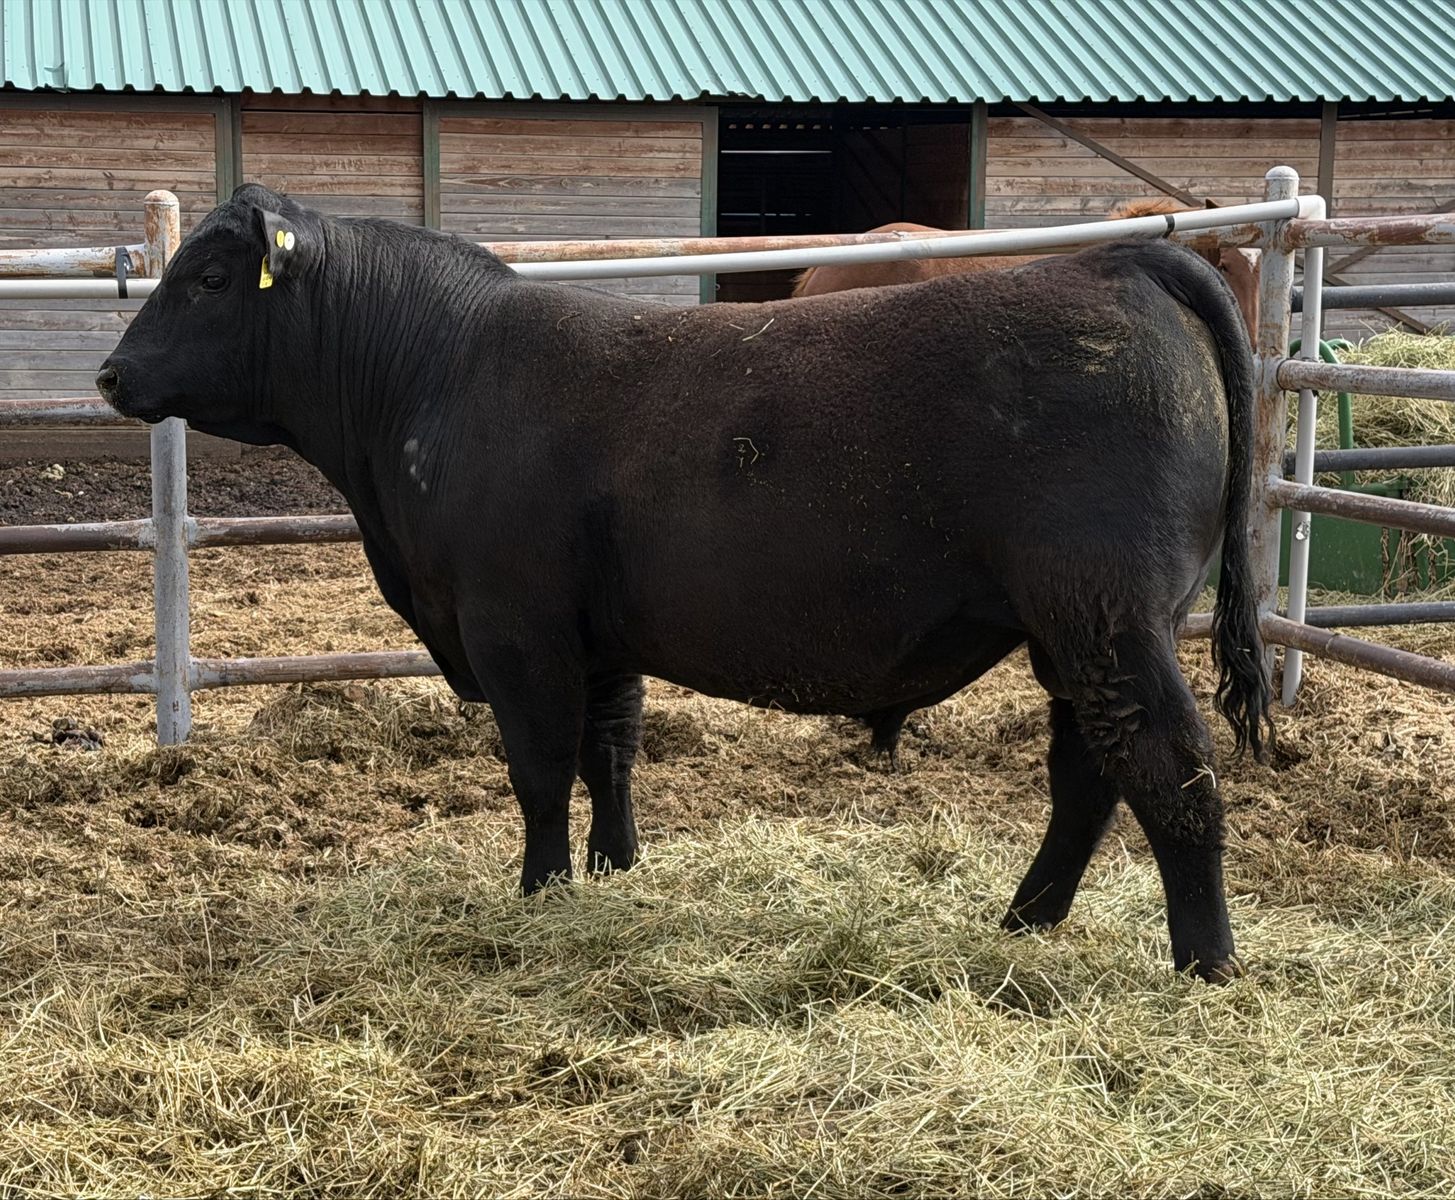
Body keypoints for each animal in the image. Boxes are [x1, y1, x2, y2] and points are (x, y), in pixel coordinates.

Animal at [97, 185, 1272, 982]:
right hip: (1081, 629)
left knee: (1171, 770)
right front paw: (616, 870)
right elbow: (611, 752)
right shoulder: (601, 633)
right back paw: (1025, 922)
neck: (433, 377)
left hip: (1106, 613)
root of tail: (1120, 266)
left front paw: (542, 891)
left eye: (209, 279)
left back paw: (1204, 966)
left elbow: (539, 769)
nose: (110, 375)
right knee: (1089, 776)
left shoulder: (515, 627)